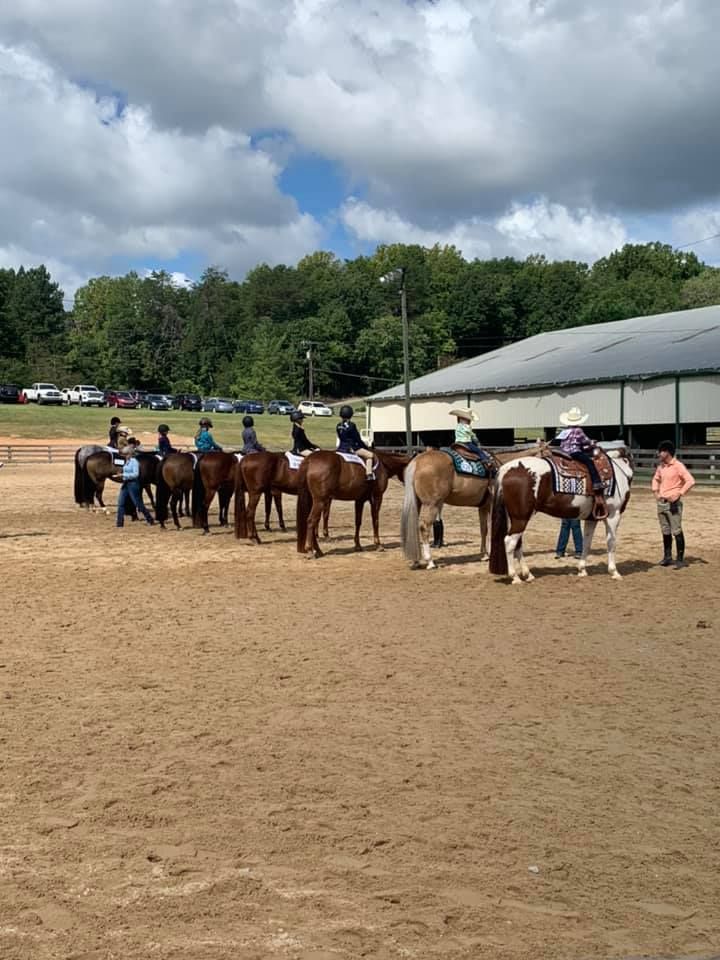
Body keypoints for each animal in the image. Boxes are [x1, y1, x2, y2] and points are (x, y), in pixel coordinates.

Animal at [400, 444, 540, 568]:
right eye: (546, 454)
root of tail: (417, 462)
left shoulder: (483, 507)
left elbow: (484, 529)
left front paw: (484, 554)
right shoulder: (491, 505)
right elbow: (491, 528)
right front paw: (490, 554)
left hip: (418, 504)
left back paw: (415, 561)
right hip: (432, 505)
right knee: (424, 528)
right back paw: (430, 561)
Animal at [486, 444, 632, 584]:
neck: (619, 471)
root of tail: (506, 469)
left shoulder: (592, 518)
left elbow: (586, 542)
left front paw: (582, 570)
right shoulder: (613, 515)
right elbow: (611, 542)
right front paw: (614, 572)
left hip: (516, 518)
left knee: (517, 543)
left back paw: (528, 575)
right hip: (520, 518)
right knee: (509, 542)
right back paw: (515, 577)